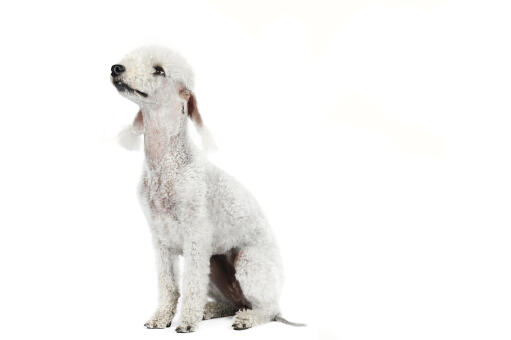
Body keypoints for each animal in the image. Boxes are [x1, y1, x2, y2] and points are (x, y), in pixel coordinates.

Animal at [111, 45, 304, 332]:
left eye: (159, 70)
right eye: (128, 61)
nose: (116, 69)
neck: (166, 163)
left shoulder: (195, 236)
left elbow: (191, 284)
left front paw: (186, 322)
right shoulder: (160, 239)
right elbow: (168, 285)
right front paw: (161, 318)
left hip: (248, 263)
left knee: (267, 309)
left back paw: (245, 318)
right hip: (214, 268)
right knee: (232, 303)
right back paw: (210, 310)